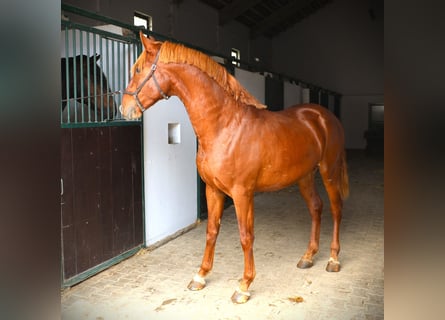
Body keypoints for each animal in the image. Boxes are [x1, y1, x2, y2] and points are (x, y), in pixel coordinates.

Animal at [119, 31, 348, 302]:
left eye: (138, 69)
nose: (124, 108)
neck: (225, 126)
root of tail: (324, 116)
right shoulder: (213, 190)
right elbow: (211, 231)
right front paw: (200, 276)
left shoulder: (241, 193)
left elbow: (245, 236)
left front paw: (244, 285)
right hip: (304, 176)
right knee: (316, 207)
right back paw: (308, 256)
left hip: (329, 171)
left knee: (336, 209)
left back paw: (333, 259)